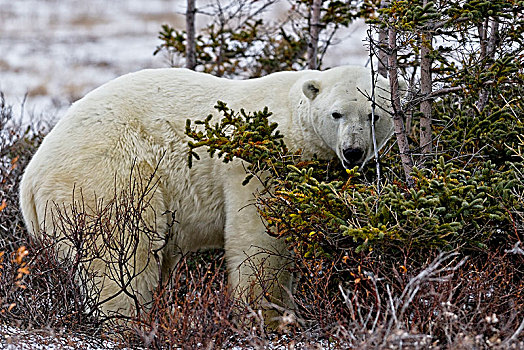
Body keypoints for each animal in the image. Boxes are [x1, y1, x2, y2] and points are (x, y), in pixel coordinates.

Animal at [20, 65, 398, 320]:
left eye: (374, 115)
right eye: (337, 114)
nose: (353, 152)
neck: (290, 120)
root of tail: (29, 180)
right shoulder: (254, 165)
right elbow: (259, 241)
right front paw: (272, 316)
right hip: (108, 178)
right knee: (122, 254)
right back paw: (132, 320)